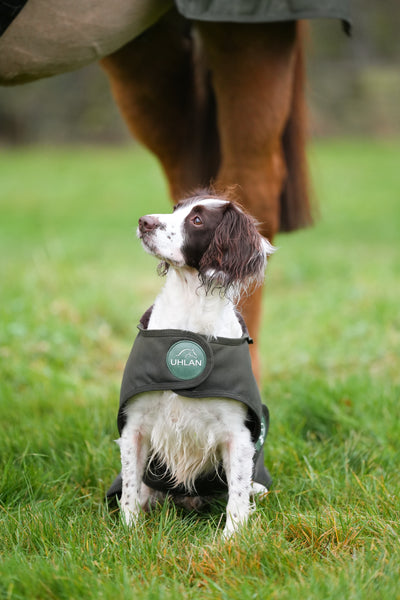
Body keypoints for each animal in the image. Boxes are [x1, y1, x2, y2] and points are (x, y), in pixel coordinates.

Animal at [106, 193, 276, 540]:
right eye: (175, 210)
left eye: (197, 220)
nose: (144, 221)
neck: (189, 316)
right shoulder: (134, 426)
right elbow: (129, 489)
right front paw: (130, 533)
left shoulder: (238, 434)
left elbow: (237, 496)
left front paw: (231, 541)